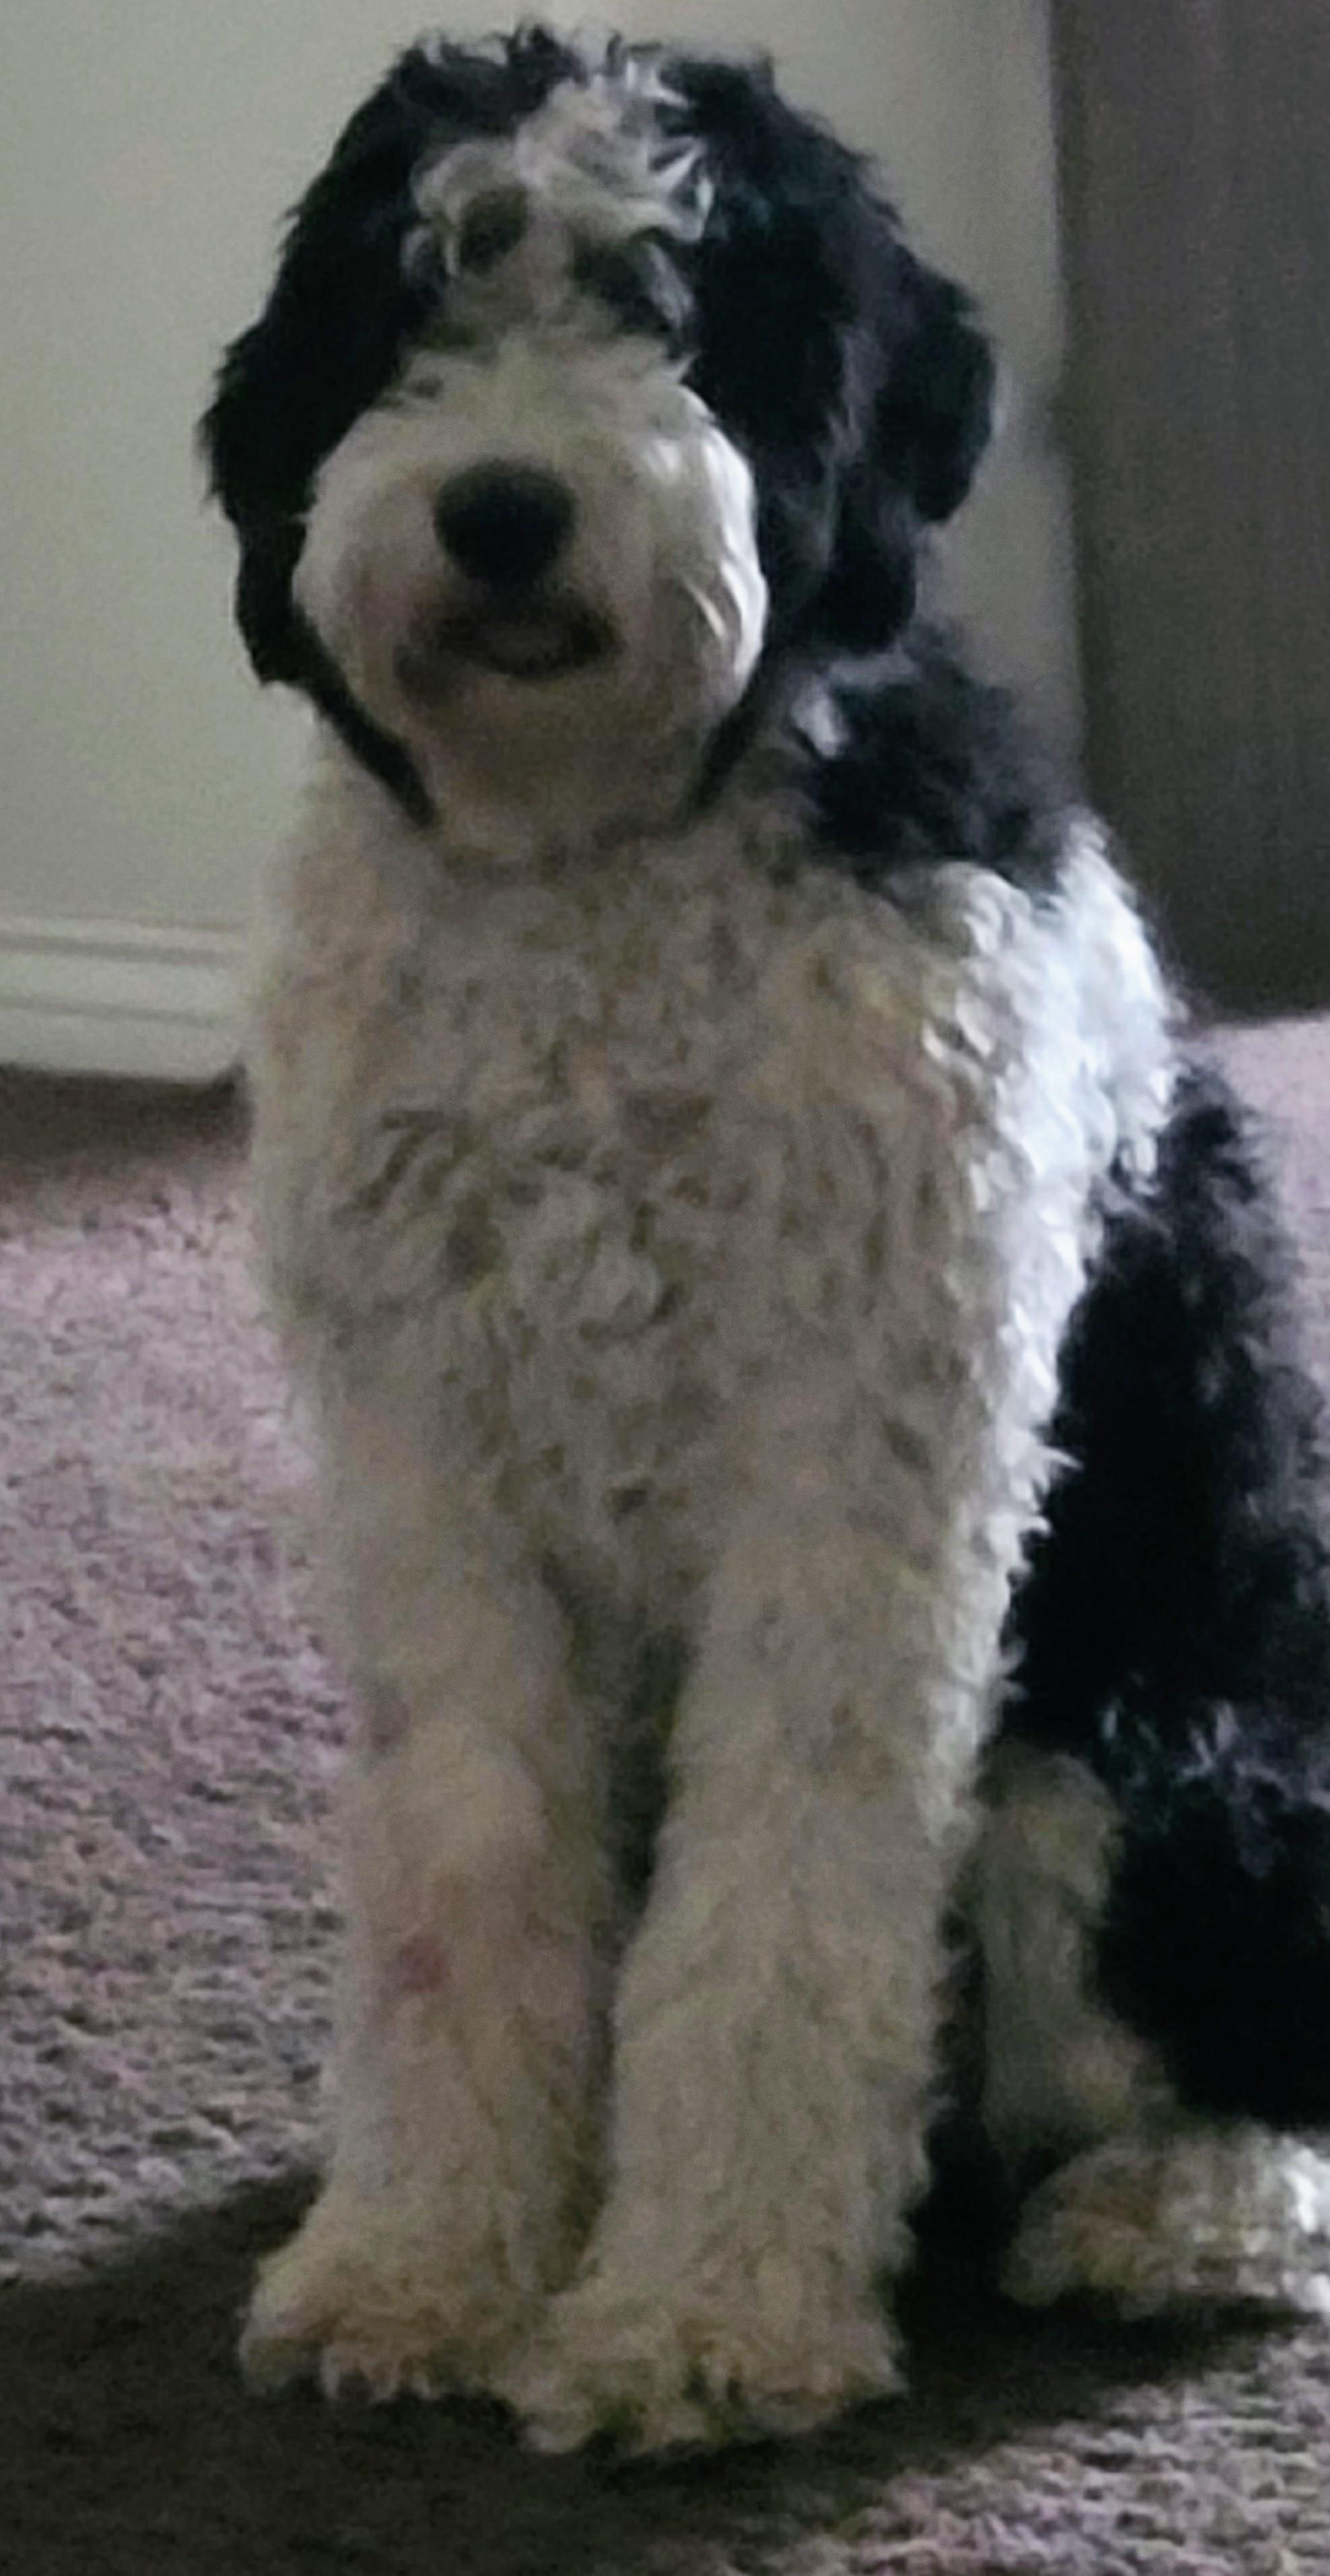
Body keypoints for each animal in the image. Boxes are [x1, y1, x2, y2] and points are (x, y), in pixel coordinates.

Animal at [203, 25, 1330, 2453]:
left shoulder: (857, 1438)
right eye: (423, 286)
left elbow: (783, 1896)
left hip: (1132, 1767)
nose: (503, 509)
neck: (593, 859)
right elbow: (463, 1865)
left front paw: (698, 2316)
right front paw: (423, 2262)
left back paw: (1173, 2212)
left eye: (686, 305)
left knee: (1244, 2034)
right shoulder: (430, 1456)